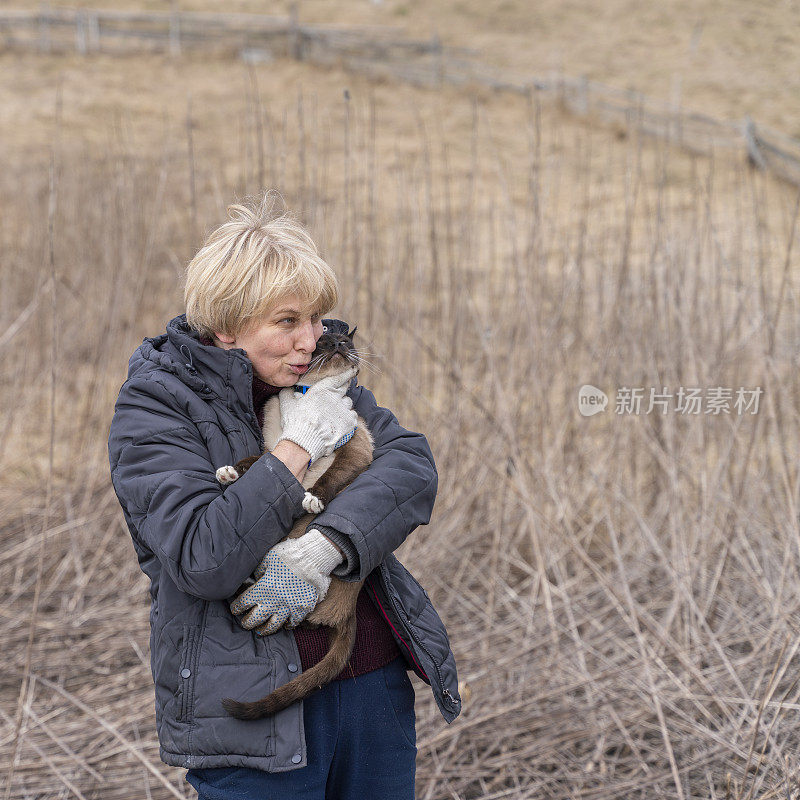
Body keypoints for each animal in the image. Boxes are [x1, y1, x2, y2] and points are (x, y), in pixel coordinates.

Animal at [212, 324, 376, 720]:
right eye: (323, 342)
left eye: (343, 342)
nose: (339, 345)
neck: (309, 395)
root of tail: (347, 615)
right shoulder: (276, 452)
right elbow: (254, 462)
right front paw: (227, 473)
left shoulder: (355, 450)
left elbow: (327, 481)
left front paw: (312, 497)